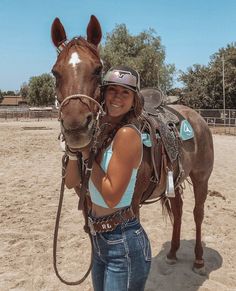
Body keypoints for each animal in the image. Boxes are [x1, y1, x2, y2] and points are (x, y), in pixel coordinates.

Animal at [51, 15, 214, 276]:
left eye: (98, 70)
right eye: (55, 73)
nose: (76, 127)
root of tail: (196, 117)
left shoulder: (133, 203)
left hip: (201, 177)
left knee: (198, 213)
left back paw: (198, 260)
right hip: (176, 179)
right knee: (178, 209)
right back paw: (172, 253)